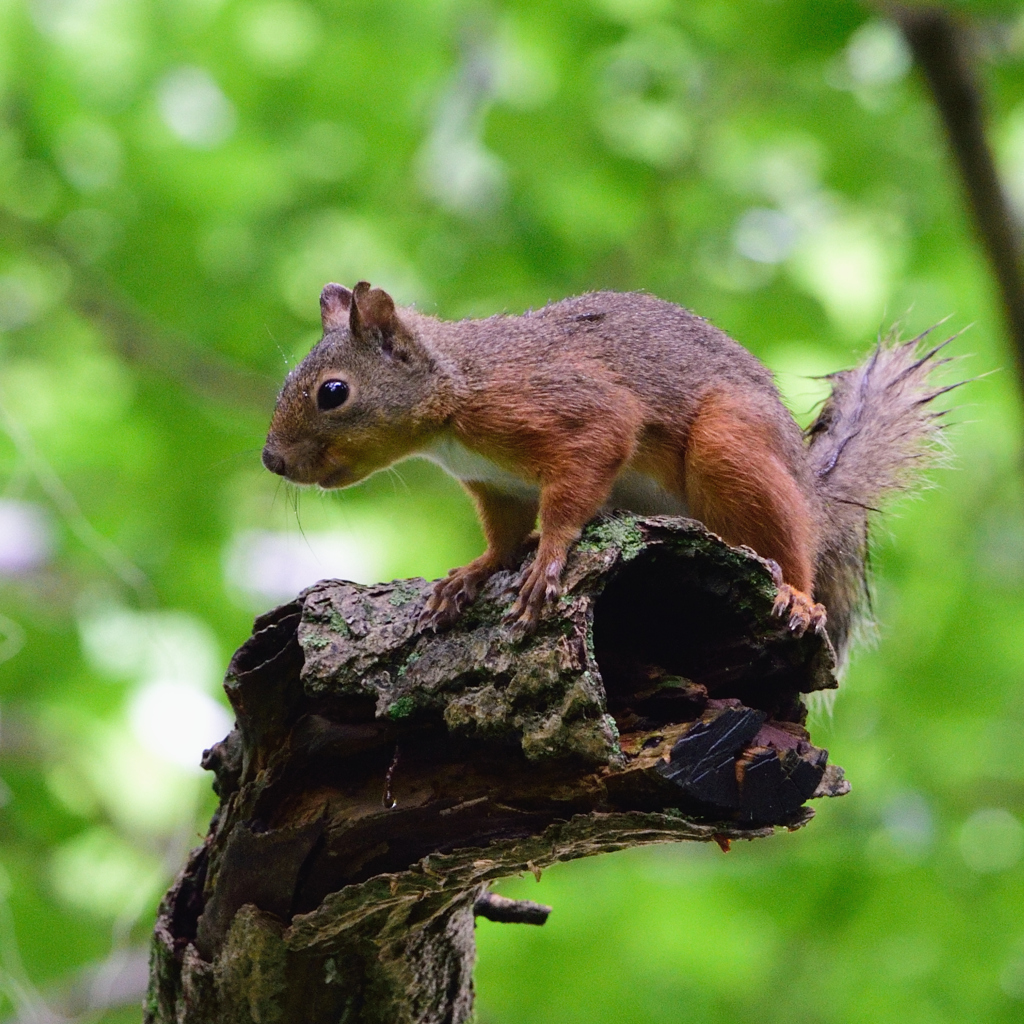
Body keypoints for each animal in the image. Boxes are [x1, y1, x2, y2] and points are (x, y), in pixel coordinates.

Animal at [262, 280, 950, 663]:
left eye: (332, 392)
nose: (272, 460)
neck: (454, 392)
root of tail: (814, 496)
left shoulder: (570, 411)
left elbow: (578, 482)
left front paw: (548, 560)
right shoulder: (496, 485)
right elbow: (503, 536)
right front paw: (471, 575)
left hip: (731, 449)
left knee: (789, 544)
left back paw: (799, 596)